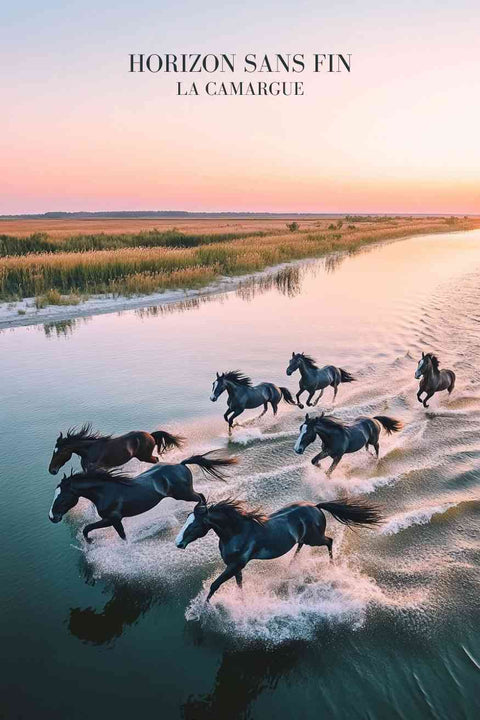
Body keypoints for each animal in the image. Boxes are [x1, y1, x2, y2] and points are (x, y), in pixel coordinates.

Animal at [48, 424, 184, 476]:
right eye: (53, 452)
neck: (89, 451)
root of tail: (150, 435)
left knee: (156, 459)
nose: (51, 470)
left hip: (144, 456)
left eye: (60, 452)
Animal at [48, 452, 236, 544]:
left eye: (62, 498)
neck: (105, 491)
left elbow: (99, 530)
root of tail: (181, 465)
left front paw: (91, 541)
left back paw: (199, 512)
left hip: (184, 494)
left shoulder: (113, 519)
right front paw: (90, 541)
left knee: (200, 497)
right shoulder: (112, 520)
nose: (52, 517)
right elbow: (89, 528)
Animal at [176, 496, 382, 600]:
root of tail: (316, 507)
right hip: (306, 538)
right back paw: (292, 565)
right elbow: (239, 585)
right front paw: (241, 602)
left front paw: (203, 609)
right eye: (187, 520)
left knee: (329, 541)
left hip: (315, 538)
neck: (237, 531)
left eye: (194, 525)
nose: (178, 543)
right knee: (300, 545)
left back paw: (332, 567)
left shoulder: (236, 565)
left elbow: (215, 585)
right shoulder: (235, 567)